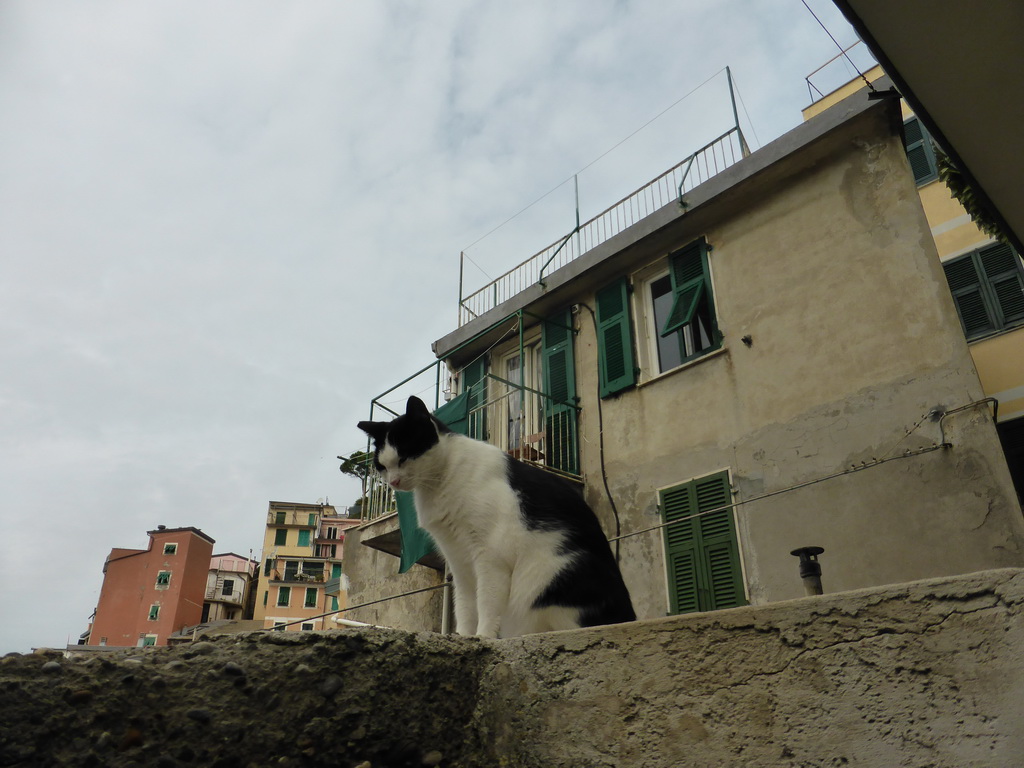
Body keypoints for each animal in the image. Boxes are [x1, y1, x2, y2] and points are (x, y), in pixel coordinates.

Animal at [358, 393, 630, 638]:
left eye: (404, 457)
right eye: (382, 466)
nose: (393, 482)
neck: (442, 479)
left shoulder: (490, 555)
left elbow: (487, 601)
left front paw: (483, 636)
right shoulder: (458, 559)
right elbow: (465, 604)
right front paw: (464, 636)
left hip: (553, 571)